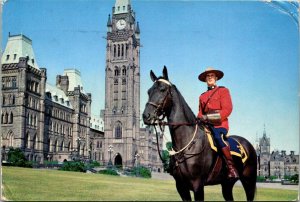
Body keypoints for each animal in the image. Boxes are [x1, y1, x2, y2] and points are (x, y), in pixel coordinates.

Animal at [142, 66, 256, 200]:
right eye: (149, 91)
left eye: (162, 89)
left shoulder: (198, 186)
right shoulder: (181, 187)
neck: (187, 143)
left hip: (249, 182)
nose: (146, 116)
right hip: (227, 184)